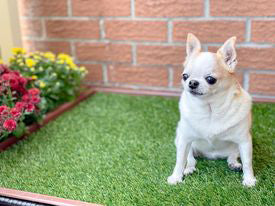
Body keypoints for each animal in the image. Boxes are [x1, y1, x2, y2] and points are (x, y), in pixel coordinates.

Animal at [168, 33, 256, 187]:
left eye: (210, 79)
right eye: (185, 76)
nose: (192, 82)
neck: (210, 110)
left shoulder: (244, 141)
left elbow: (247, 162)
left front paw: (249, 179)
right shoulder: (185, 139)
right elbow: (179, 161)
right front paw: (175, 177)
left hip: (236, 146)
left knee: (232, 156)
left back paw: (234, 164)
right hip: (181, 140)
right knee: (190, 159)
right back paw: (188, 169)